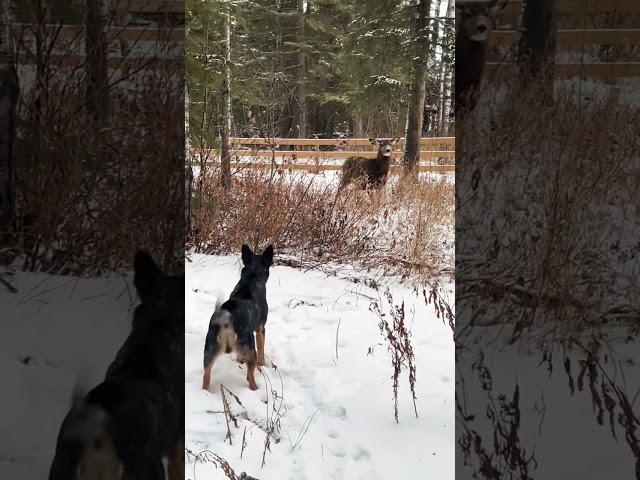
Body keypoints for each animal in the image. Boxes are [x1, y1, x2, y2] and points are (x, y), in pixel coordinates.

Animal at [204, 246, 274, 392]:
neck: (251, 278)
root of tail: (226, 320)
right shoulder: (260, 329)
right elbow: (262, 352)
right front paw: (263, 365)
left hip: (209, 350)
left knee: (206, 378)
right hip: (250, 348)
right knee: (249, 377)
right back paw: (256, 388)